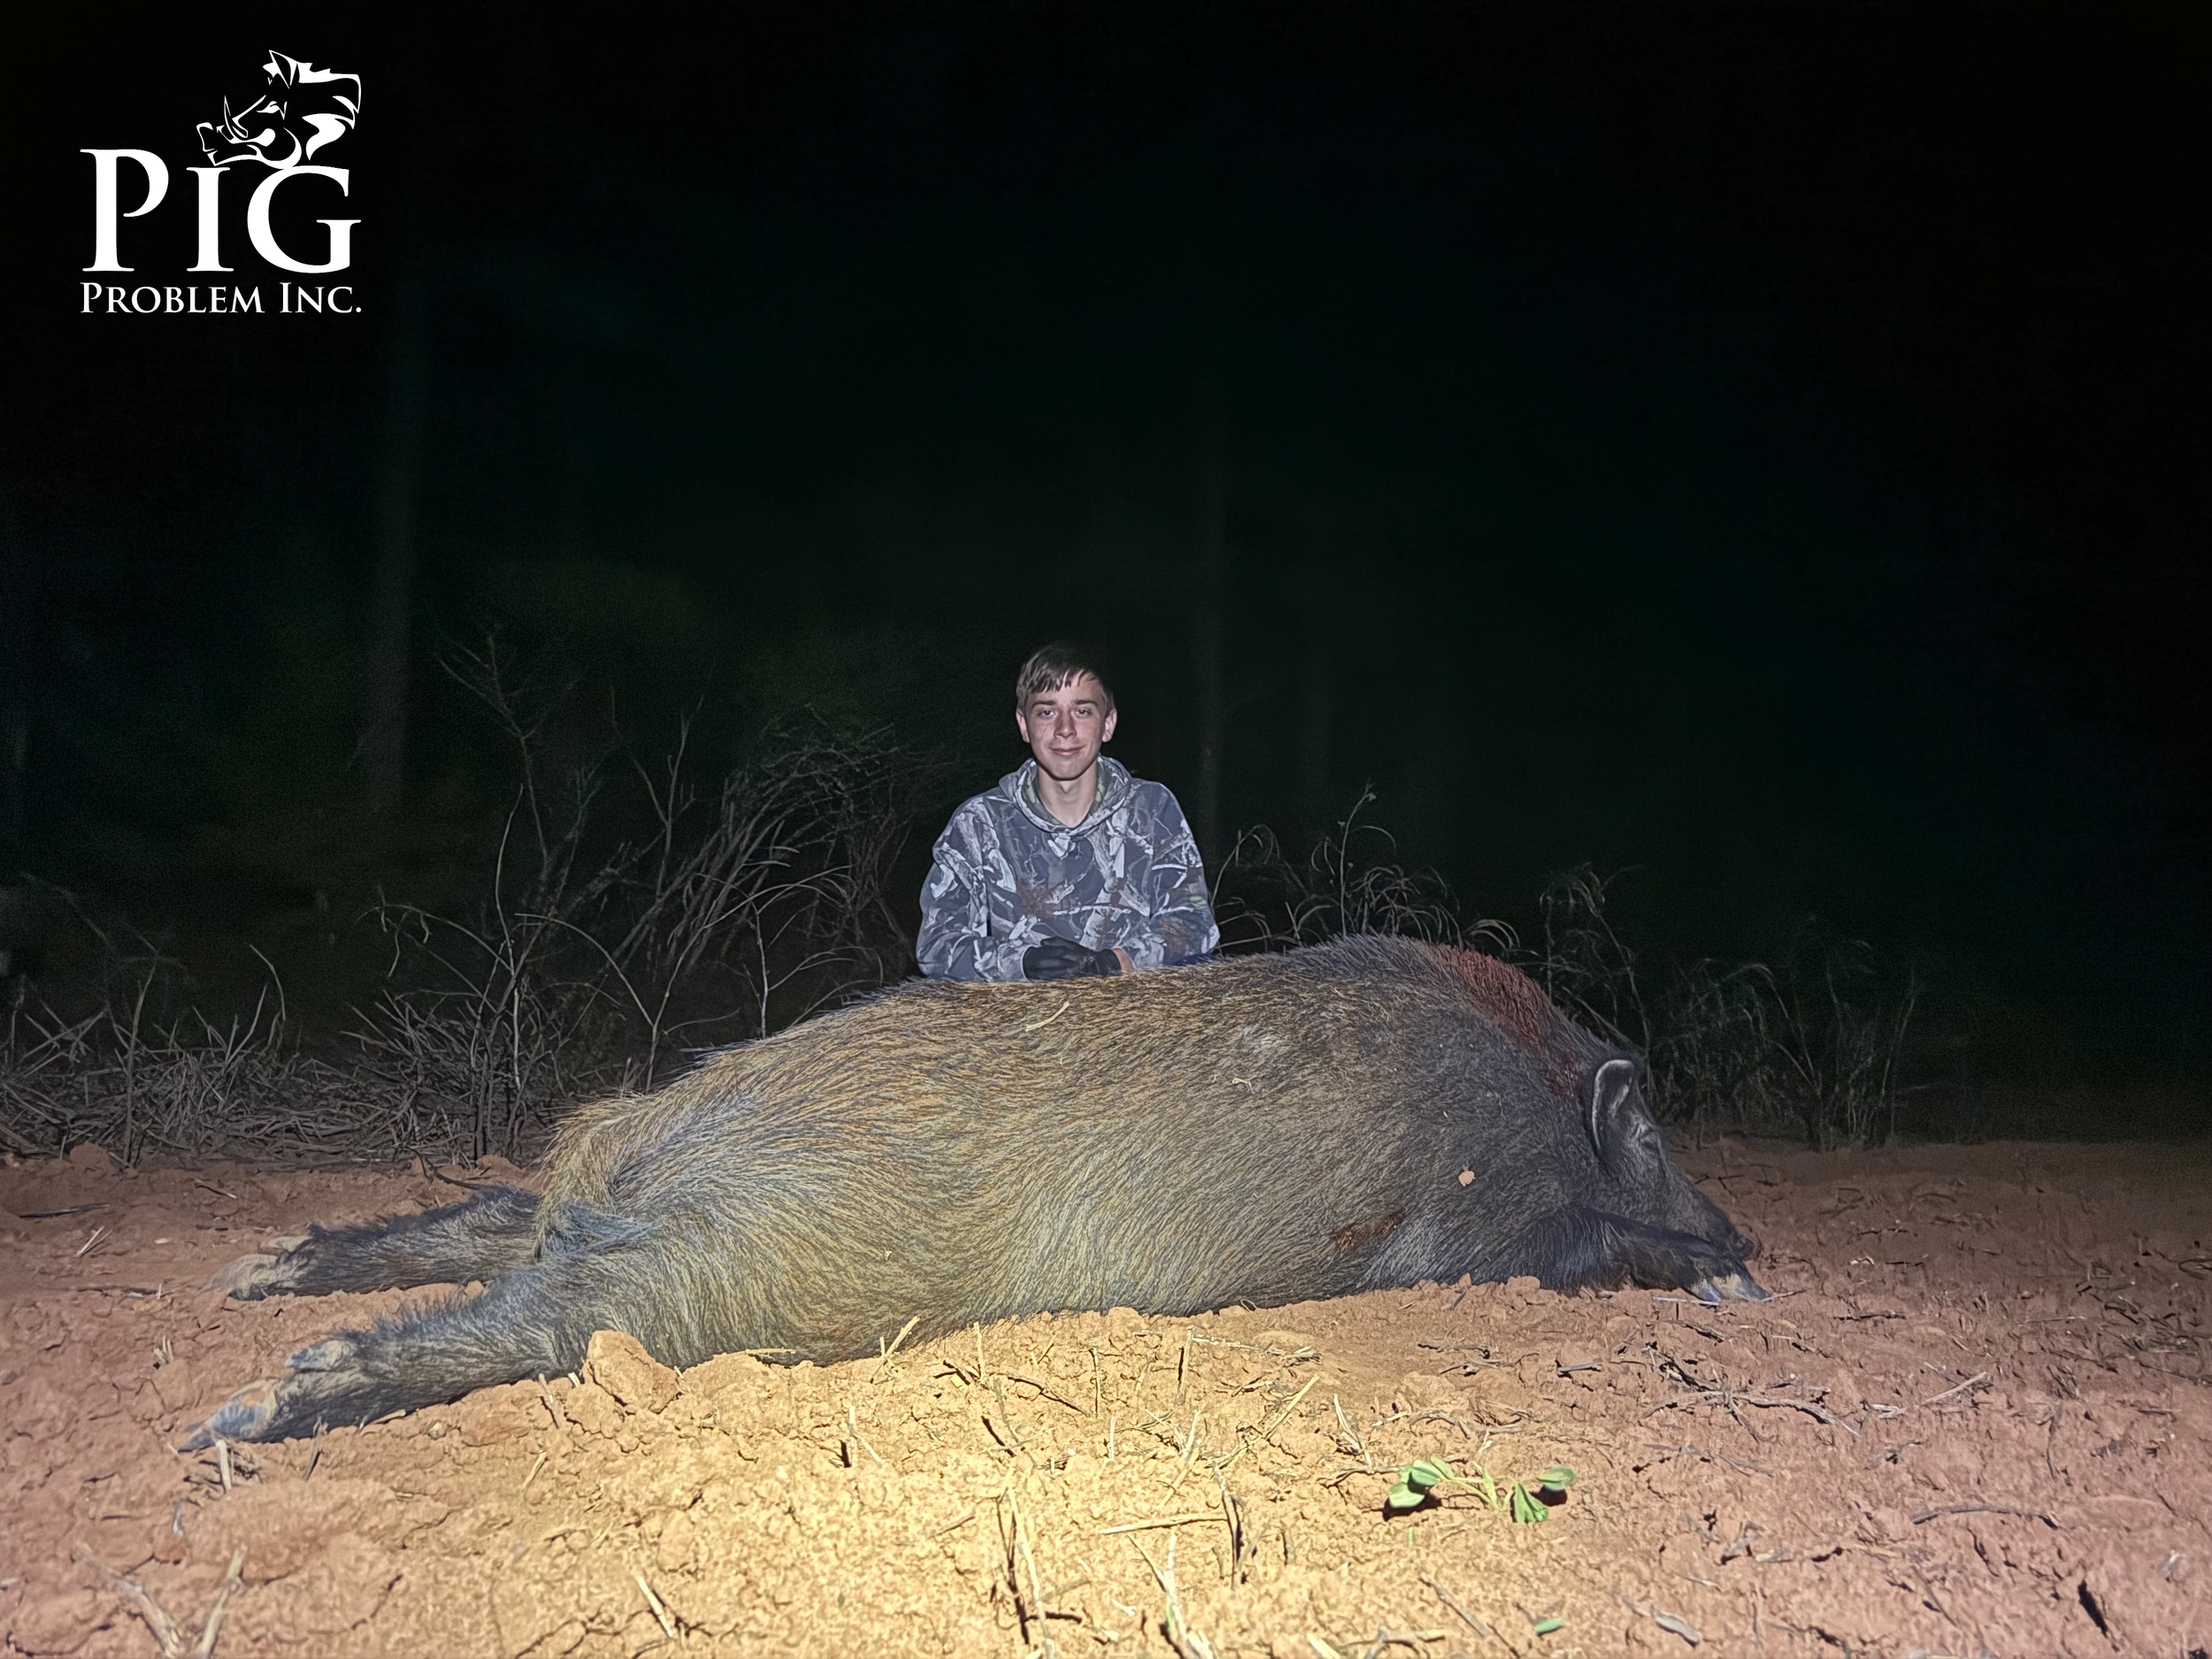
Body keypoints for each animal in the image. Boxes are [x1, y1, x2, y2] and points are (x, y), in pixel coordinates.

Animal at [185, 934, 1762, 1444]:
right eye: (1660, 1139)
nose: (1748, 1230)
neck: (1543, 1098)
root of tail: (654, 1112)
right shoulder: (1485, 1221)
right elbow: (1586, 1248)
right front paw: (1730, 1279)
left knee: (496, 1220)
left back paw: (253, 1275)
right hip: (771, 1260)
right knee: (556, 1308)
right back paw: (246, 1407)